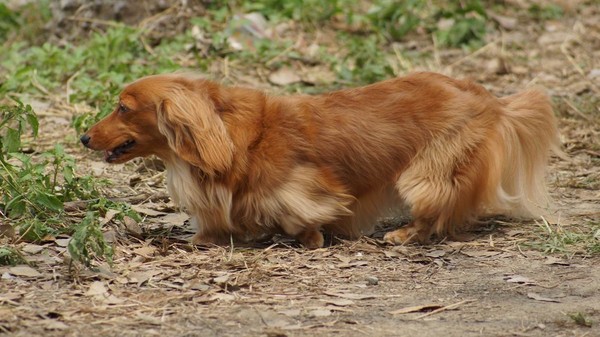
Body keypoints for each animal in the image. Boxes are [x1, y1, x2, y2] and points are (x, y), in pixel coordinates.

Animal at [81, 72, 564, 247]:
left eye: (123, 107)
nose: (83, 137)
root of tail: (488, 98)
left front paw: (309, 238)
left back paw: (406, 234)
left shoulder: (299, 189)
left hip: (425, 173)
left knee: (437, 206)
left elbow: (303, 213)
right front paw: (205, 238)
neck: (230, 136)